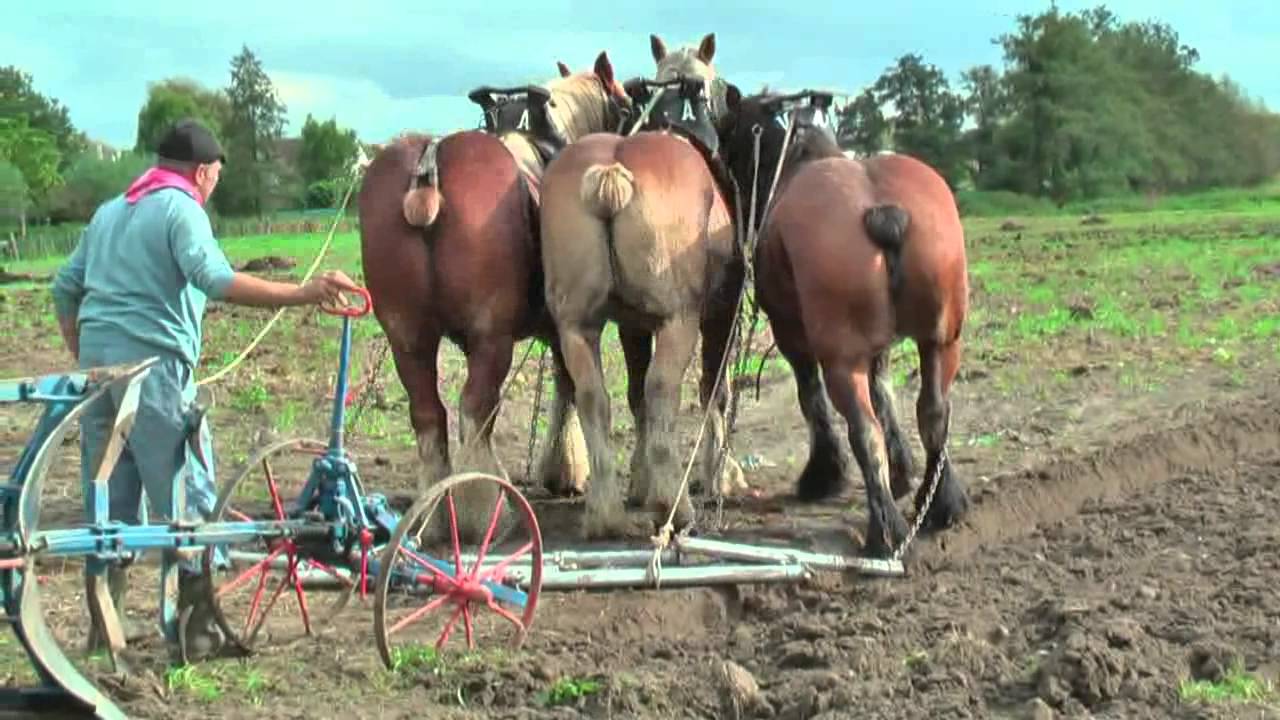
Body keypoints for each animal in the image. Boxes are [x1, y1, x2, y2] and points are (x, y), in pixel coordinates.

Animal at [358, 51, 632, 538]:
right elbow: (569, 386)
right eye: (623, 103)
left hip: (407, 337)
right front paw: (566, 469)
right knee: (474, 410)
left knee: (429, 415)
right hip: (491, 338)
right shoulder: (562, 325)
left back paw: (434, 515)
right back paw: (485, 511)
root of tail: (428, 169)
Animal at [537, 33, 747, 538]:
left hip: (576, 325)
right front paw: (718, 476)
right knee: (662, 390)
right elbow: (714, 390)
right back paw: (674, 506)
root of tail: (611, 173)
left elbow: (632, 396)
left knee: (594, 396)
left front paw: (639, 480)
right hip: (678, 321)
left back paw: (605, 512)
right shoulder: (721, 311)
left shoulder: (631, 324)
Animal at [716, 87, 972, 558]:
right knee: (934, 412)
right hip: (942, 341)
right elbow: (885, 392)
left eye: (729, 130)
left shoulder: (792, 336)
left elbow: (811, 399)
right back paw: (941, 502)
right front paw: (902, 470)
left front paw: (824, 475)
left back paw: (885, 530)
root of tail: (883, 212)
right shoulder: (880, 346)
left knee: (863, 430)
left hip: (841, 357)